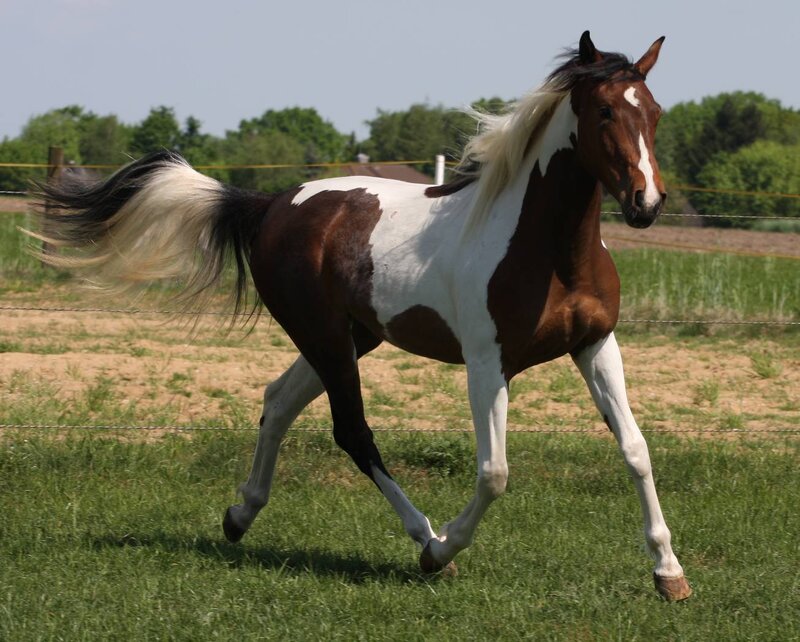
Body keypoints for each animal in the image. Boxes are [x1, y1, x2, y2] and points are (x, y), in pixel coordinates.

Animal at [31, 31, 691, 601]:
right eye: (603, 111)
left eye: (656, 113)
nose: (647, 203)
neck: (546, 249)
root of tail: (272, 204)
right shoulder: (486, 363)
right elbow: (494, 472)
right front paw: (444, 549)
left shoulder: (596, 345)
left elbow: (636, 449)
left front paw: (669, 573)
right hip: (324, 335)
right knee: (351, 430)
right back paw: (424, 539)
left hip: (349, 337)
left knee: (278, 400)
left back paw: (241, 515)